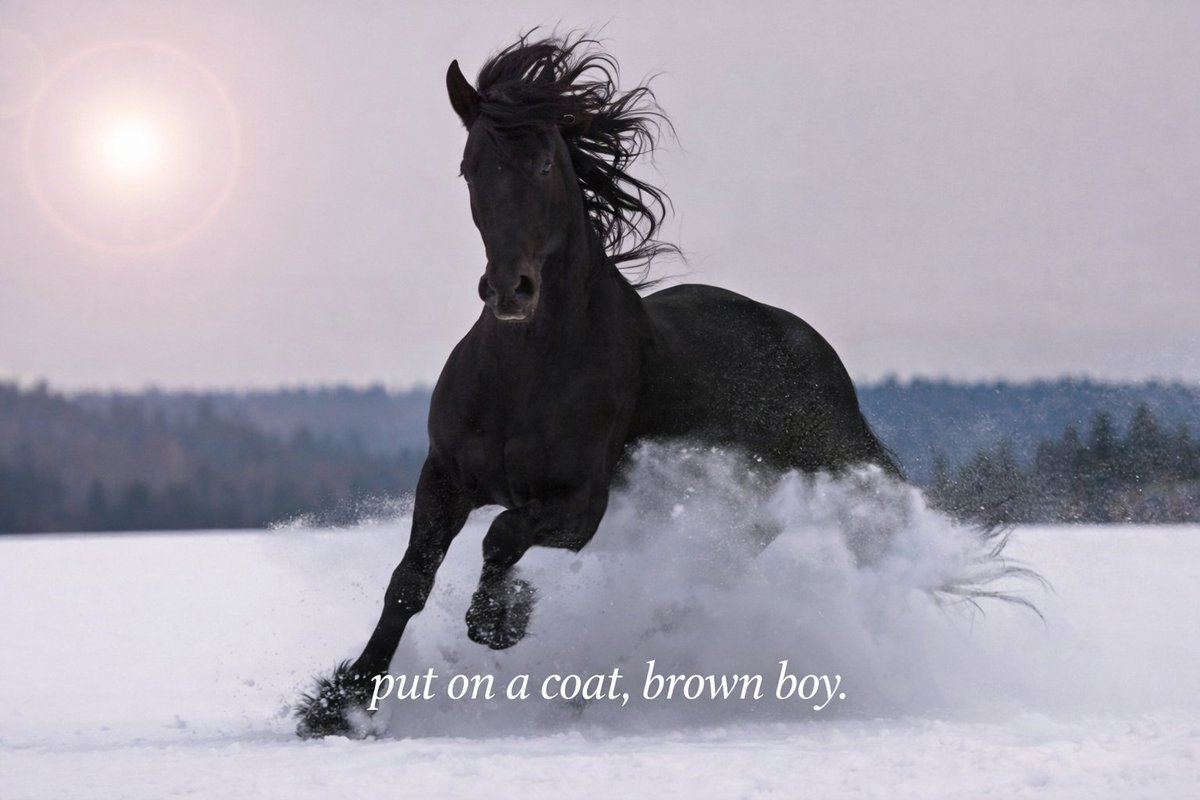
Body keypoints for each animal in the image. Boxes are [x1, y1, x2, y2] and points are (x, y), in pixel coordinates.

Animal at [295, 34, 904, 738]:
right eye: (469, 168)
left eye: (542, 165)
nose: (510, 290)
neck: (524, 373)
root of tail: (811, 346)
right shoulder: (445, 477)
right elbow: (410, 580)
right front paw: (340, 703)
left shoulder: (582, 503)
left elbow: (503, 537)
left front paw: (503, 618)